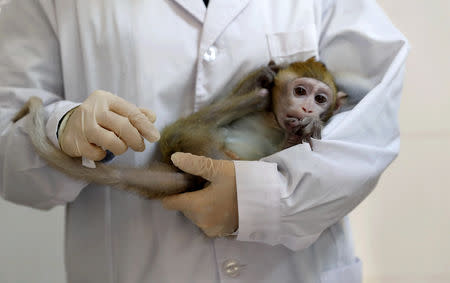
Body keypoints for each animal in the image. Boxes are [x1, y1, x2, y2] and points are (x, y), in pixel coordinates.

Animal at [12, 57, 346, 200]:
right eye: (300, 91)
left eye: (320, 98)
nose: (307, 108)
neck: (272, 119)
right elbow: (261, 90)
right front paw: (264, 75)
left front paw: (304, 129)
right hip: (185, 135)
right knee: (252, 102)